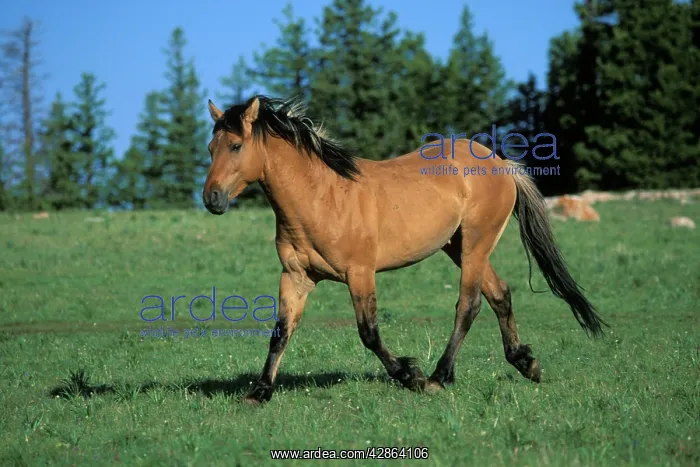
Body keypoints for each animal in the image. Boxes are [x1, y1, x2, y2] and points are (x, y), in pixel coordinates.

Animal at [202, 95, 606, 405]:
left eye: (236, 146)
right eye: (210, 148)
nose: (212, 199)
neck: (322, 198)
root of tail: (500, 163)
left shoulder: (359, 274)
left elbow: (369, 333)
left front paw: (410, 375)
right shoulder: (296, 277)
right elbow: (281, 332)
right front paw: (259, 392)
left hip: (476, 244)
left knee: (469, 304)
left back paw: (439, 377)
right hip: (458, 246)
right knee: (500, 294)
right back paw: (525, 363)